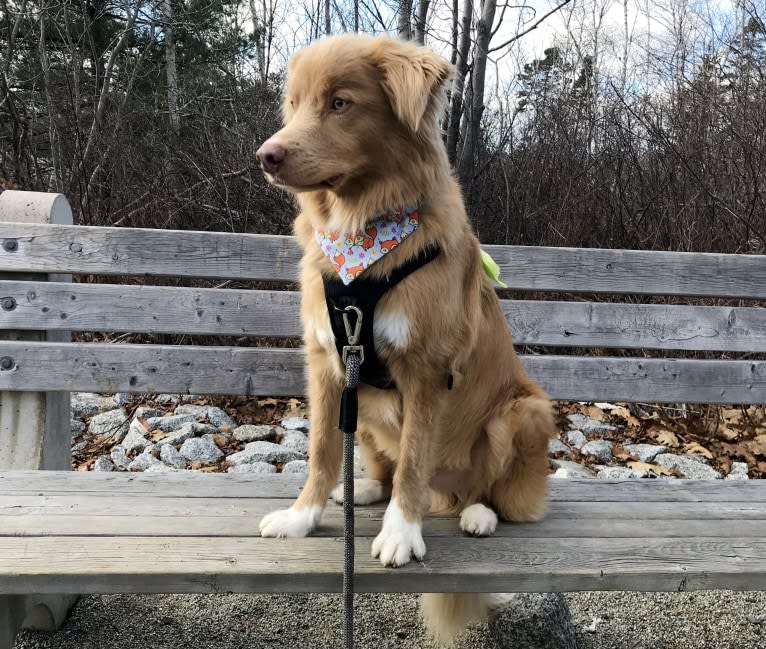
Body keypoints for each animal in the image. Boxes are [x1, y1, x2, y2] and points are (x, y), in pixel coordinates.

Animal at [258, 33, 560, 640]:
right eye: (295, 105)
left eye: (340, 103)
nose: (266, 156)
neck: (363, 231)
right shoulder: (326, 363)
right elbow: (322, 451)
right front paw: (303, 517)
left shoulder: (427, 369)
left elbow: (416, 458)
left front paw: (401, 533)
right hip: (368, 409)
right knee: (380, 460)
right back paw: (366, 488)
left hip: (522, 411)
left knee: (483, 492)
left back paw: (476, 513)